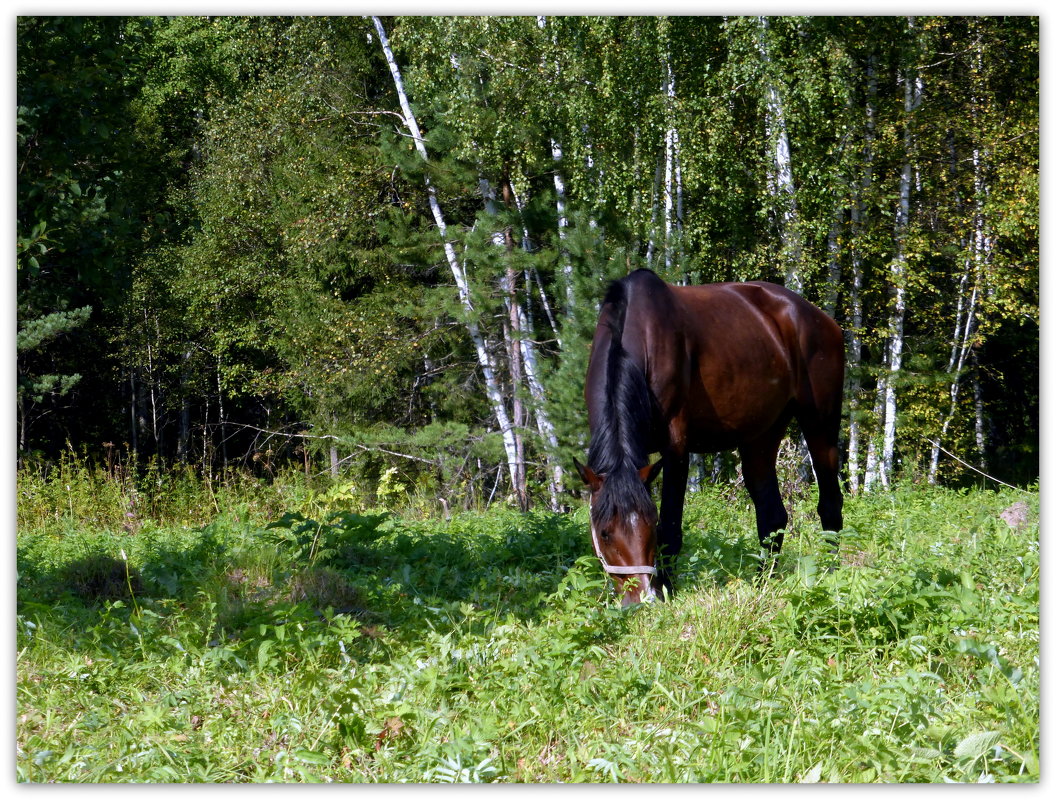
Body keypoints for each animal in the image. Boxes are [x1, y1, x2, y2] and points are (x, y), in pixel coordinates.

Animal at [574, 270, 844, 607]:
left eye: (648, 526)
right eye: (605, 532)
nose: (642, 598)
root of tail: (820, 319)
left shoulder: (675, 446)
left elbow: (671, 527)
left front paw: (668, 590)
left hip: (821, 425)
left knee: (830, 505)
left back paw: (830, 573)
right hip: (761, 436)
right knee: (772, 516)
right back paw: (762, 583)